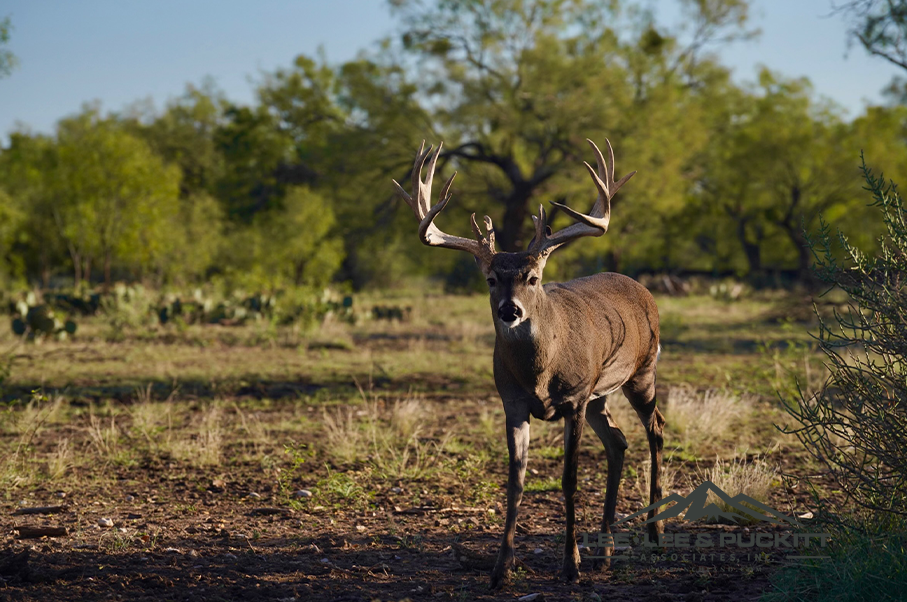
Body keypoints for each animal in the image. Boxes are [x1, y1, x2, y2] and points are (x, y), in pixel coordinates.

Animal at [392, 137, 668, 584]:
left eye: (533, 278)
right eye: (491, 279)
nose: (510, 310)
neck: (541, 373)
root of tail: (642, 289)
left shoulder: (574, 399)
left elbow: (569, 479)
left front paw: (570, 566)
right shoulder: (513, 402)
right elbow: (515, 481)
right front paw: (501, 568)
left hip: (641, 373)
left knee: (656, 429)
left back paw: (654, 535)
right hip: (600, 395)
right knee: (618, 441)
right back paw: (605, 552)